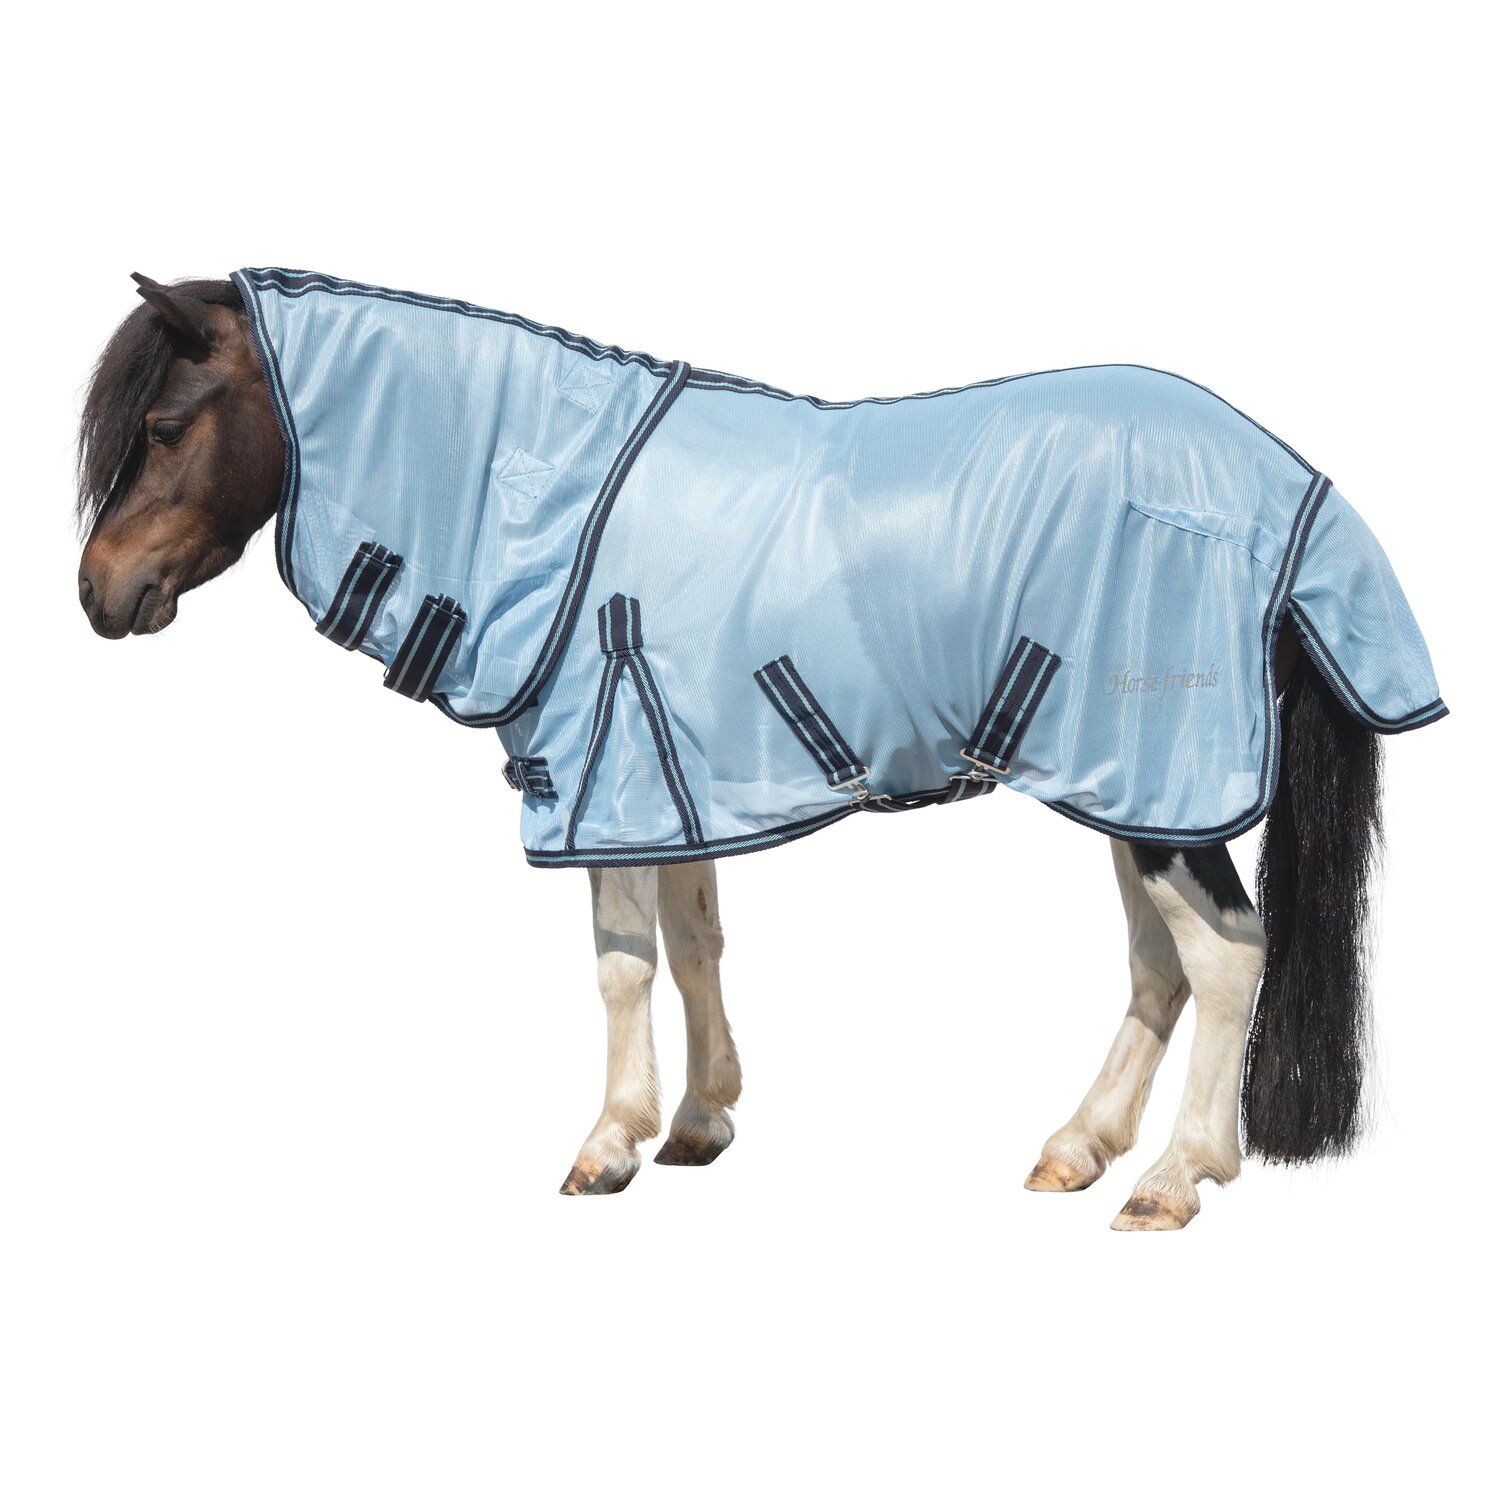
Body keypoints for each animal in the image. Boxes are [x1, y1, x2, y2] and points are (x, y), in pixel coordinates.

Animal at [74, 271, 1445, 1230]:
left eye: (164, 426)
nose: (97, 591)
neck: (546, 488)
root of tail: (1293, 488)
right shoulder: (670, 773)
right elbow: (694, 944)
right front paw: (697, 1122)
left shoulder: (597, 775)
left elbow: (620, 965)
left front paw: (608, 1145)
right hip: (1130, 790)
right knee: (1160, 966)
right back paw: (1076, 1150)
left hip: (1164, 783)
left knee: (1224, 958)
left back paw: (1170, 1179)